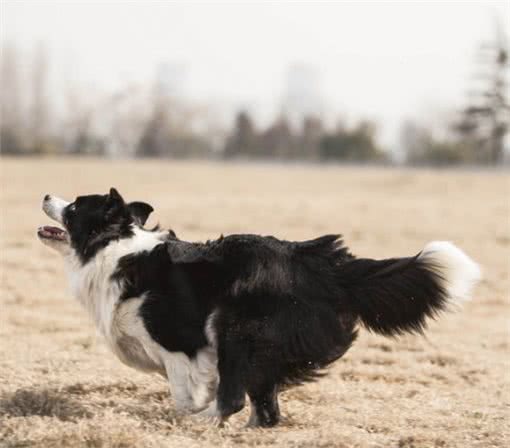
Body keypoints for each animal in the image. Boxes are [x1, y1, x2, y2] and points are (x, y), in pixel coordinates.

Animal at [39, 188, 482, 428]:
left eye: (75, 207)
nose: (45, 196)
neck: (114, 250)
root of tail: (326, 265)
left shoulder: (179, 341)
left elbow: (185, 390)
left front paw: (187, 414)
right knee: (266, 410)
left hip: (235, 328)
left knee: (236, 398)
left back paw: (203, 423)